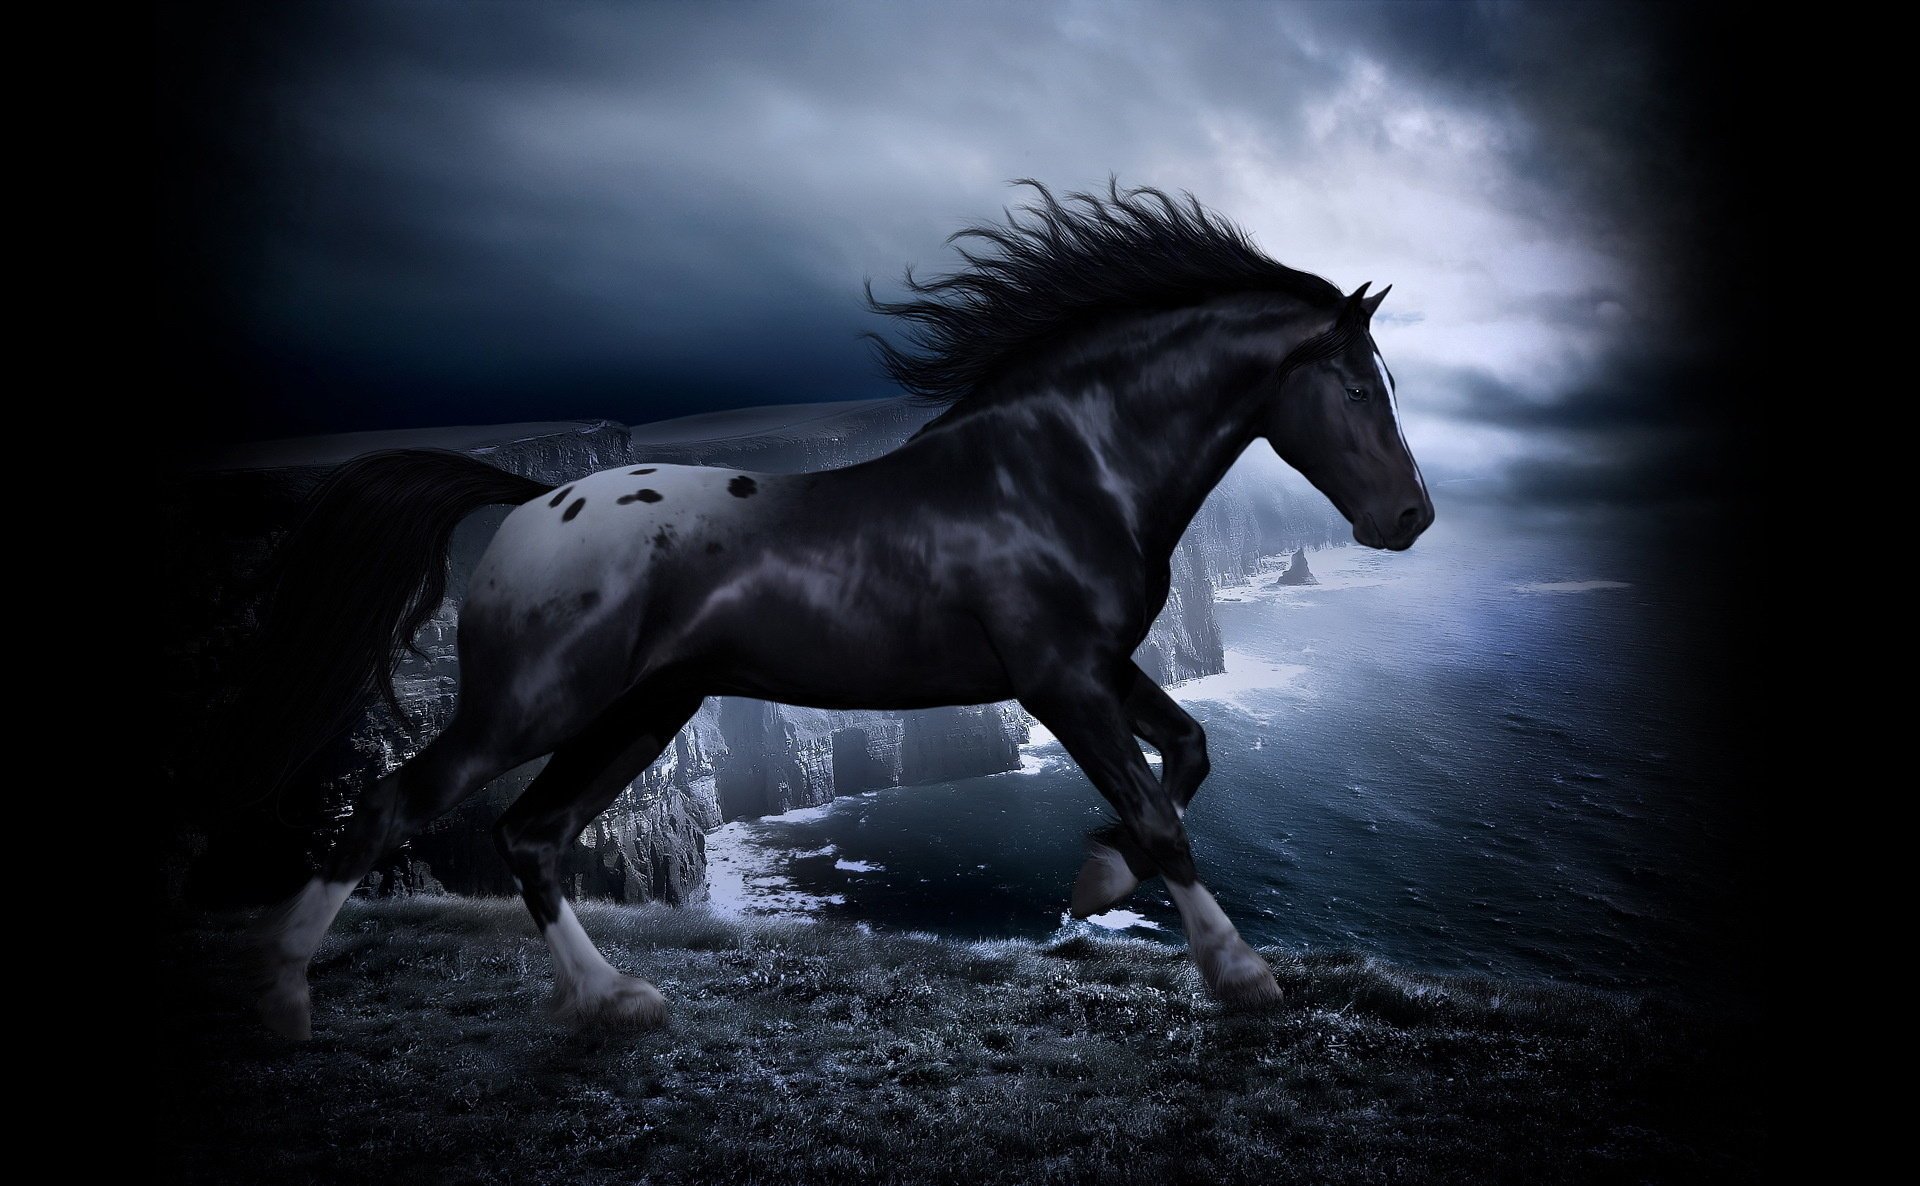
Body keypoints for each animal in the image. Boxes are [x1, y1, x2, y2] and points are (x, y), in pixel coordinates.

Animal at [251, 181, 1432, 1038]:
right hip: (533, 704)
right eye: (1358, 387)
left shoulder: (1101, 665)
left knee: (531, 834)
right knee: (394, 806)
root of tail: (535, 497)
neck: (1061, 467)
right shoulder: (1058, 678)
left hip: (641, 713)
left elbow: (1188, 752)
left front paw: (1097, 879)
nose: (1412, 518)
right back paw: (285, 1000)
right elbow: (1157, 810)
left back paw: (612, 1002)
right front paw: (1239, 973)